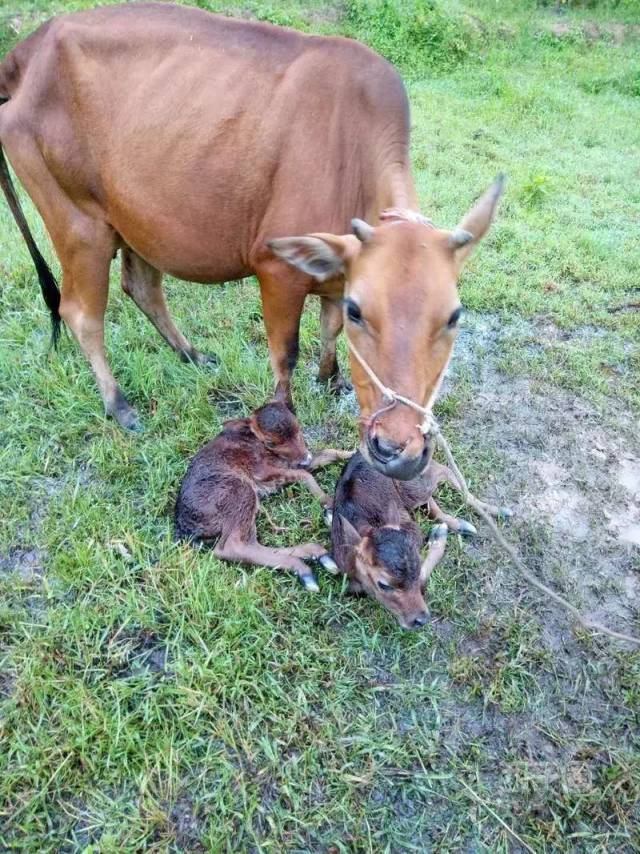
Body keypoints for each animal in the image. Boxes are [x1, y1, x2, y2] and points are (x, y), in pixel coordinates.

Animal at [0, 3, 502, 478]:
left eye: (454, 317)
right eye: (362, 311)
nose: (397, 449)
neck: (353, 155)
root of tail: (29, 48)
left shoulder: (335, 271)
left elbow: (329, 329)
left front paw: (332, 378)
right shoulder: (277, 270)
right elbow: (286, 354)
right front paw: (288, 413)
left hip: (137, 221)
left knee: (142, 287)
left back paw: (191, 354)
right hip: (79, 223)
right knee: (81, 313)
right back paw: (119, 404)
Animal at [174, 400, 350, 588]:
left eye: (298, 428)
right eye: (270, 442)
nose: (305, 458)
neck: (256, 442)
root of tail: (186, 527)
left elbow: (327, 453)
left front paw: (352, 453)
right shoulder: (261, 470)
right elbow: (305, 474)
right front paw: (329, 505)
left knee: (248, 542)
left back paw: (316, 556)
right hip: (239, 491)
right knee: (230, 547)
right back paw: (306, 569)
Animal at [332, 454, 488, 628]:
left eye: (417, 569)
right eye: (383, 584)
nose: (421, 619)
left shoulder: (412, 531)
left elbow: (422, 577)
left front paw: (438, 536)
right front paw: (439, 532)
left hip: (414, 487)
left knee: (444, 470)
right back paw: (458, 525)